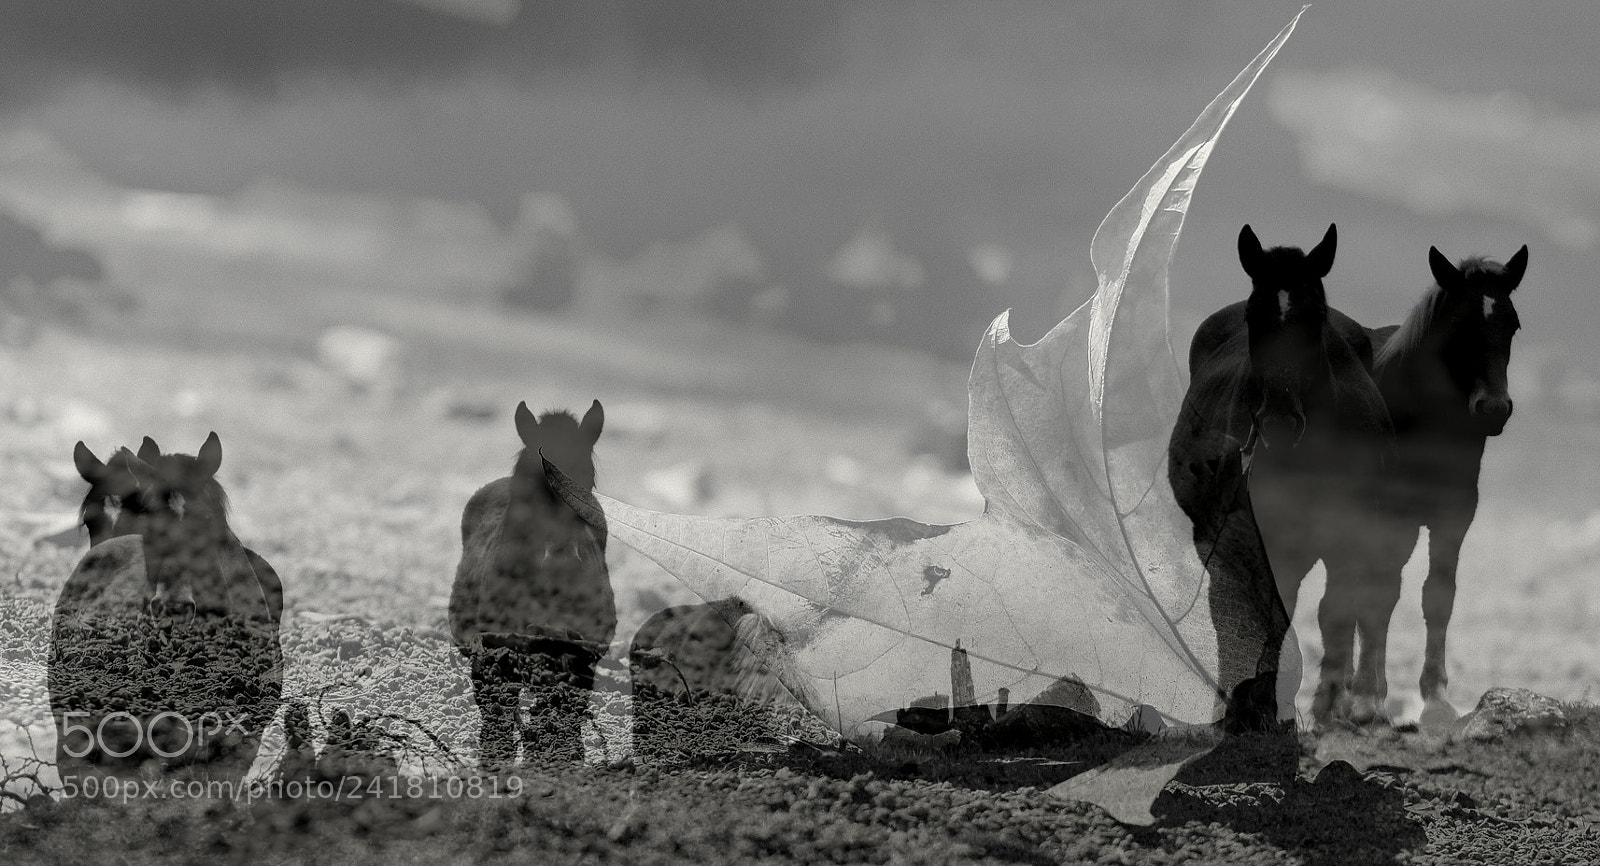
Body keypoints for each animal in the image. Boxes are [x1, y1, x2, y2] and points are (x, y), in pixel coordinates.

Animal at [1169, 224, 1412, 729]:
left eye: (1314, 316)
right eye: (1253, 315)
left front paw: (1331, 709)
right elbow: (1262, 616)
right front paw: (1255, 709)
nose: (1279, 422)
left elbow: (1336, 611)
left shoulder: (1349, 538)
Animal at [1365, 245, 1529, 731]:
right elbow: (1383, 596)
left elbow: (1438, 595)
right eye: (1459, 326)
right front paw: (1373, 701)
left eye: (1512, 325)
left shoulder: (1454, 515)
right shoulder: (1391, 517)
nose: (1494, 409)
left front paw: (1436, 700)